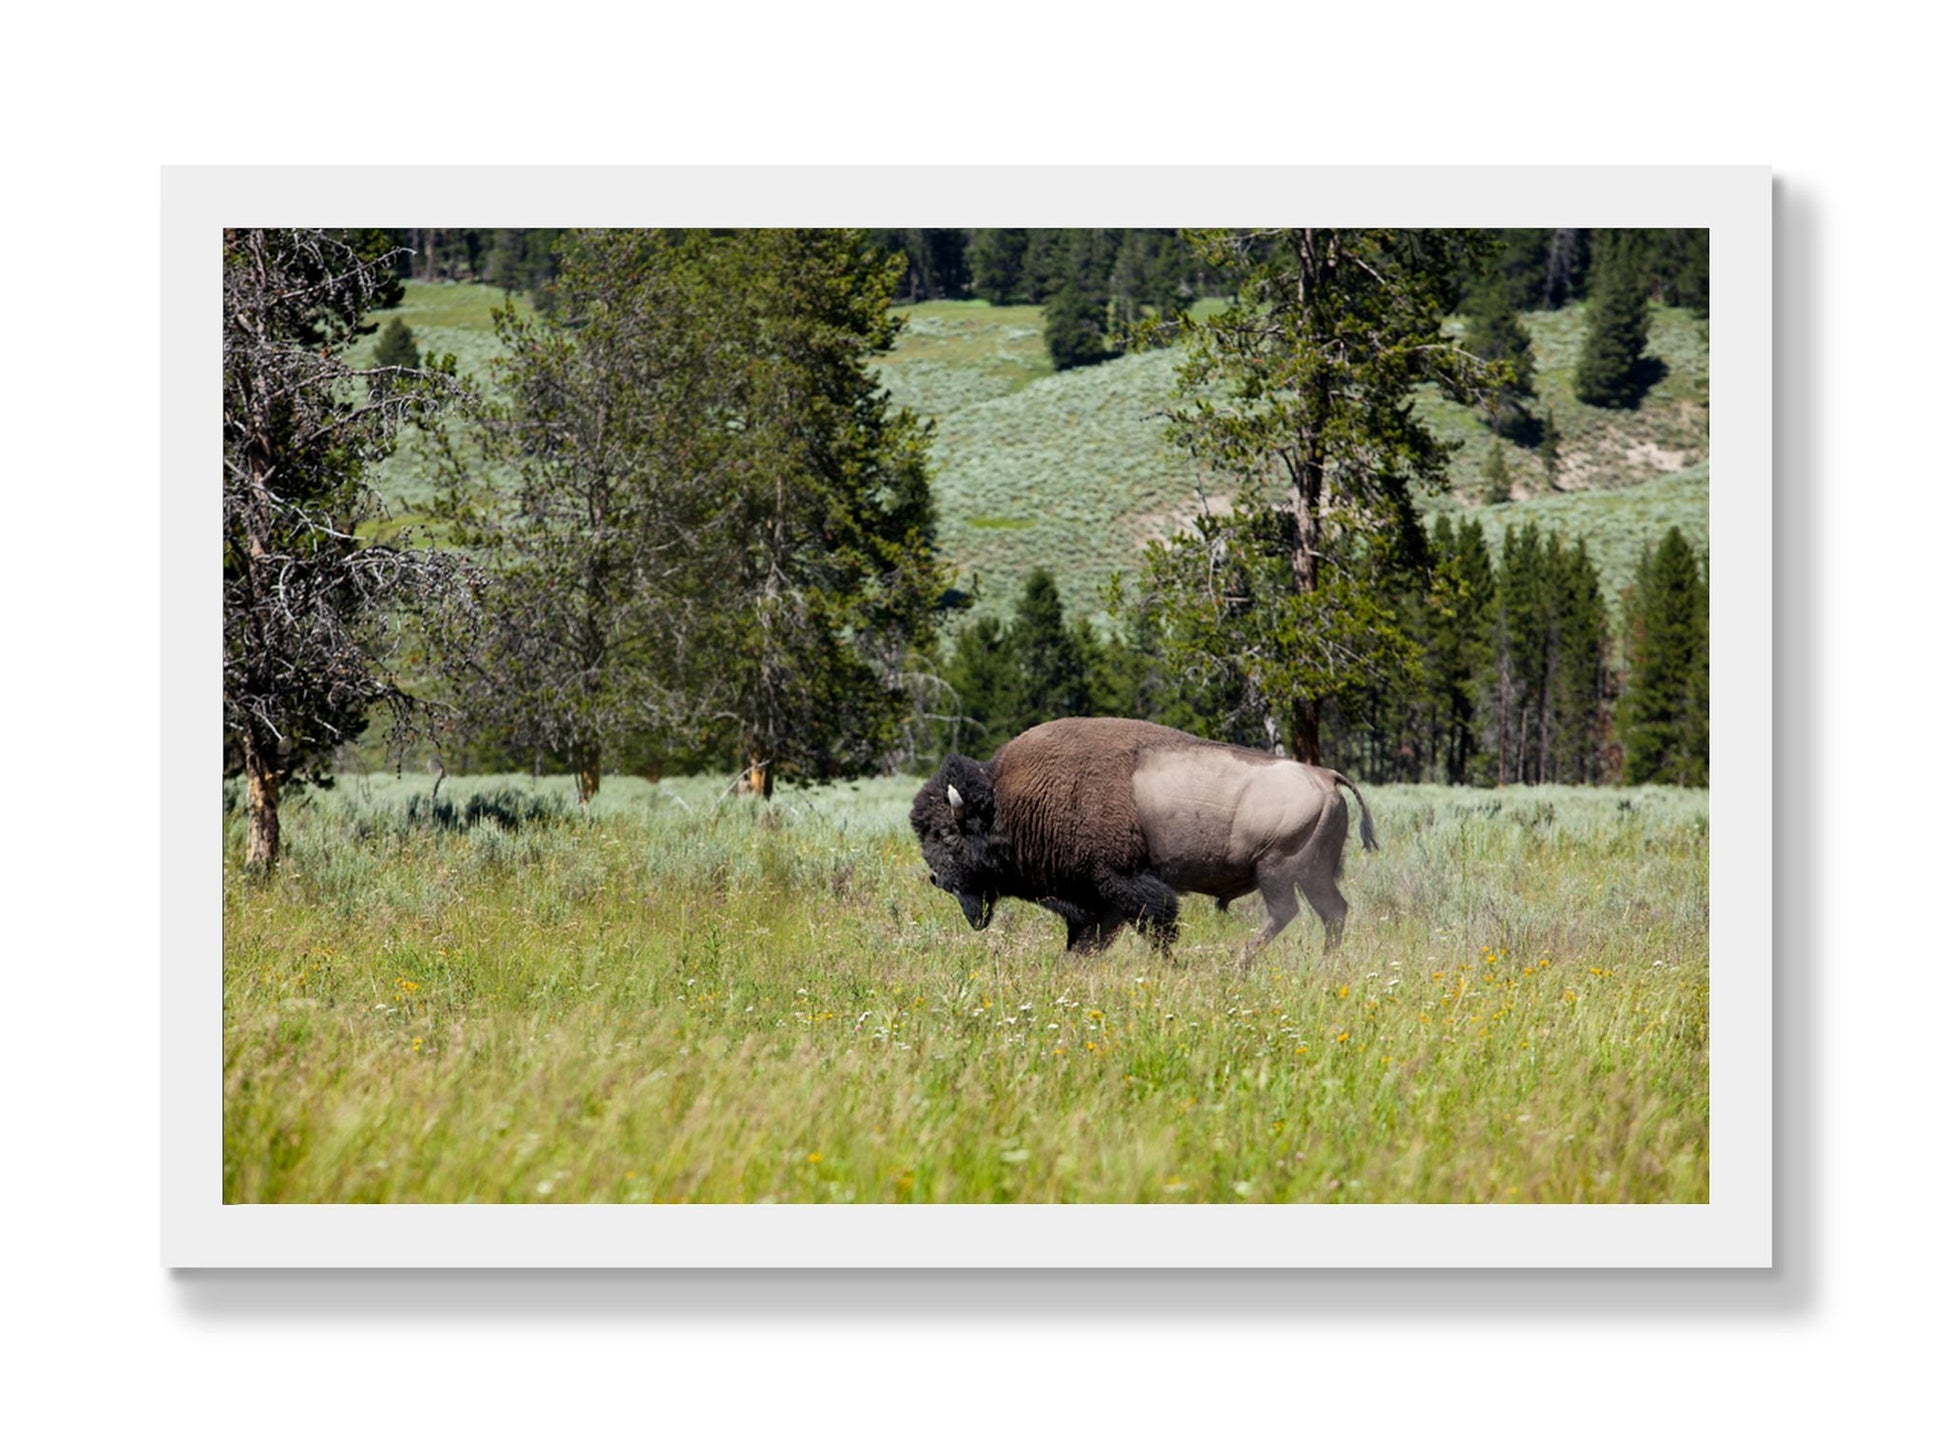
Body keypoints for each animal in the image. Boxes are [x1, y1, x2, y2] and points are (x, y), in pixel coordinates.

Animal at [909, 717, 1377, 957]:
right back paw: (1324, 962)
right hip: (1313, 875)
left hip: (1277, 870)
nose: (937, 878)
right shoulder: (1095, 901)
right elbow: (1088, 940)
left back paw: (1239, 963)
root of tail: (1325, 775)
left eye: (947, 835)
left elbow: (1156, 926)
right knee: (1333, 912)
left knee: (1286, 913)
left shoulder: (1122, 884)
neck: (1009, 801)